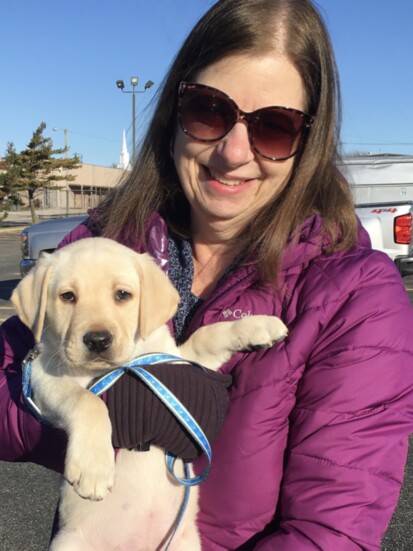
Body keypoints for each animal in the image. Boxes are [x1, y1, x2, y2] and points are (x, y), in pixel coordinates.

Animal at [10, 238, 286, 551]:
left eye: (122, 295)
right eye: (67, 296)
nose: (97, 340)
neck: (125, 364)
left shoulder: (177, 362)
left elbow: (206, 335)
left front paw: (261, 325)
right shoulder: (43, 377)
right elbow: (88, 401)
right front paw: (94, 468)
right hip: (68, 543)